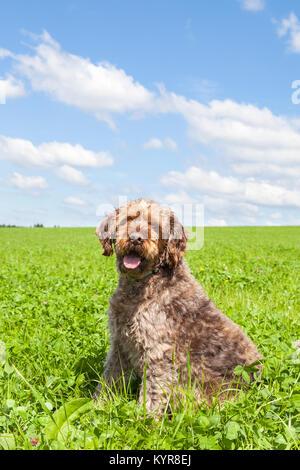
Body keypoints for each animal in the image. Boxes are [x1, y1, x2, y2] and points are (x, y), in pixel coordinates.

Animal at [94, 198, 260, 414]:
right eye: (127, 219)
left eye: (155, 226)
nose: (136, 238)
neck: (141, 284)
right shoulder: (119, 343)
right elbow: (109, 378)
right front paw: (97, 406)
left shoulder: (158, 351)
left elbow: (152, 391)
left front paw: (145, 420)